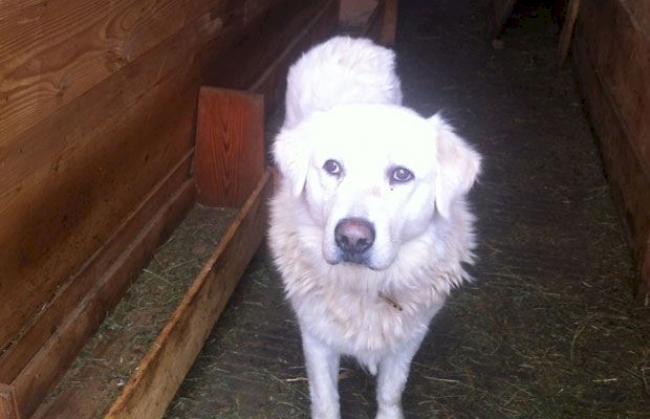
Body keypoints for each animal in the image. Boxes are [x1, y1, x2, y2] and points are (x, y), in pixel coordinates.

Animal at [268, 36, 480, 419]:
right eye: (332, 167)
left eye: (401, 174)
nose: (352, 238)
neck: (365, 287)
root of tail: (349, 39)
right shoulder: (316, 335)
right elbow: (326, 398)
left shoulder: (410, 336)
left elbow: (391, 391)